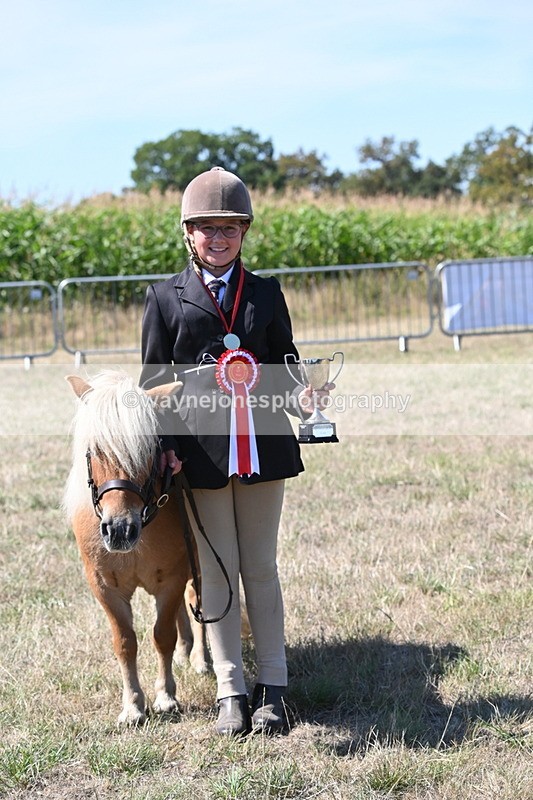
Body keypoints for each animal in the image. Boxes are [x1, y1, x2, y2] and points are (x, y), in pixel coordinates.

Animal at [63, 371, 209, 726]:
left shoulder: (170, 580)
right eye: (94, 450)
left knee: (196, 600)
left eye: (149, 450)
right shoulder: (105, 588)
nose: (119, 529)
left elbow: (161, 636)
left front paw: (166, 697)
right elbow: (125, 642)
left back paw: (200, 658)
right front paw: (132, 706)